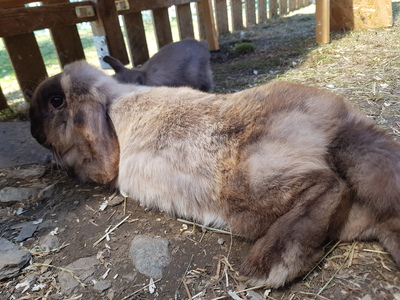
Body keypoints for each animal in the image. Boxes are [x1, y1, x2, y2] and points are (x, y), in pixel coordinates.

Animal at [29, 59, 400, 288]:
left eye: (56, 102)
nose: (32, 131)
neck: (110, 104)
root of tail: (336, 126)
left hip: (249, 189)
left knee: (330, 185)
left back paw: (269, 265)